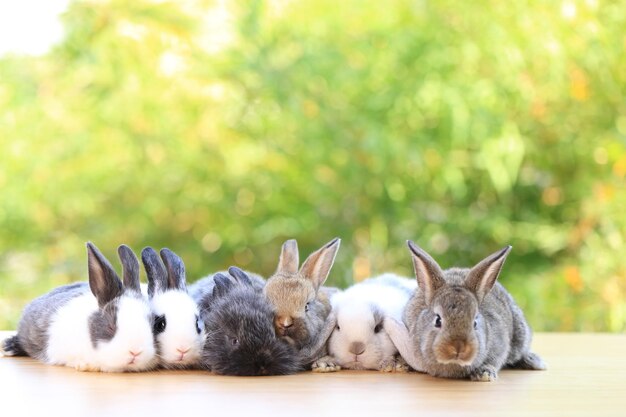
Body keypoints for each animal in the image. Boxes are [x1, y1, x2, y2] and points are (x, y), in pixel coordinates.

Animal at [382, 240, 544, 380]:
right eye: (438, 320)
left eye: (475, 323)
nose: (458, 348)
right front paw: (396, 364)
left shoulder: (500, 345)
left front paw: (484, 374)